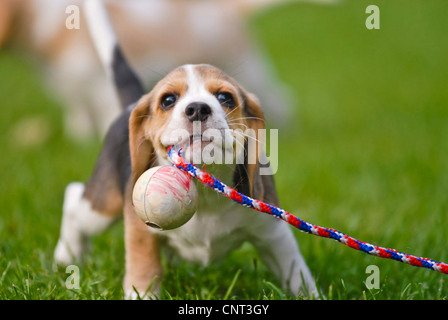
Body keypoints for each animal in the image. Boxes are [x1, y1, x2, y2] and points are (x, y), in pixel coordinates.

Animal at [53, 0, 318, 300]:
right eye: (168, 100)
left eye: (225, 97)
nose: (198, 109)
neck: (205, 189)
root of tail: (132, 103)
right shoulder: (140, 231)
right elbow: (144, 269)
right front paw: (142, 294)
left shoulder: (273, 233)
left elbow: (297, 274)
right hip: (103, 206)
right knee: (73, 197)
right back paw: (66, 255)